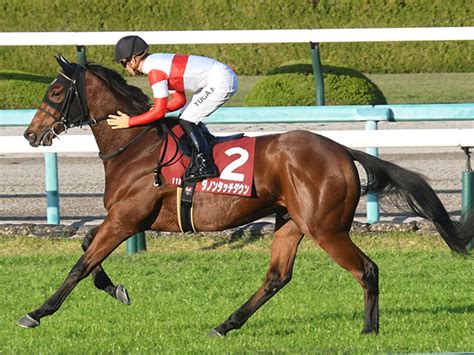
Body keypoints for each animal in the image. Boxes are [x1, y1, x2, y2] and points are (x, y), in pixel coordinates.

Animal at [16, 56, 472, 336]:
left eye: (54, 93)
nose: (30, 134)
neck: (136, 145)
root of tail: (343, 150)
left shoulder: (126, 218)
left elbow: (79, 265)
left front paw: (37, 313)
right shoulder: (125, 219)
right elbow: (86, 248)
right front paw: (117, 290)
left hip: (325, 228)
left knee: (367, 269)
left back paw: (368, 330)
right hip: (292, 222)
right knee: (276, 277)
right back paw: (225, 324)